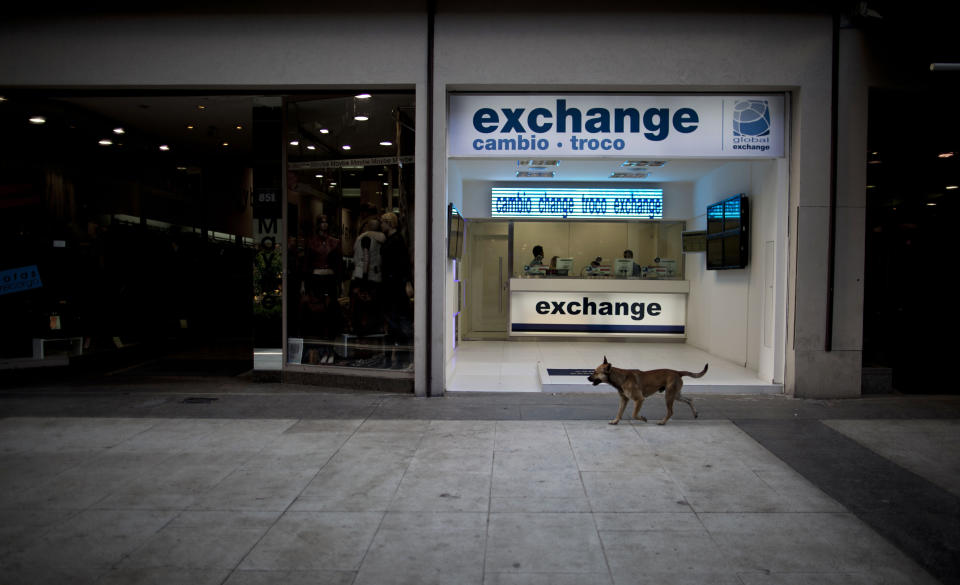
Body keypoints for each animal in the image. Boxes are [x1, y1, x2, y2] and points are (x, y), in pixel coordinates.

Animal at [580, 356, 708, 424]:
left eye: (596, 372)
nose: (587, 378)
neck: (621, 378)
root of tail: (677, 372)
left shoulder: (639, 399)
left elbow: (634, 414)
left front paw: (642, 418)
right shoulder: (624, 400)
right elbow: (619, 412)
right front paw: (615, 421)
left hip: (669, 396)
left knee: (671, 411)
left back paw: (662, 422)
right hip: (675, 395)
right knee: (689, 400)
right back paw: (695, 413)